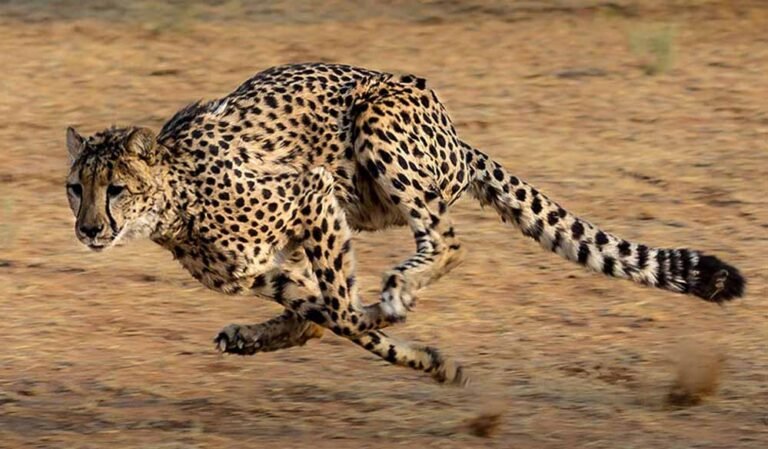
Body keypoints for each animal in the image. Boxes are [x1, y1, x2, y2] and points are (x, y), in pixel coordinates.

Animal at [65, 63, 745, 386]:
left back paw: (397, 291)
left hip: (377, 126)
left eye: (116, 189)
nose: (88, 230)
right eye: (76, 189)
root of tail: (455, 133)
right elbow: (324, 315)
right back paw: (266, 333)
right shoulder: (264, 268)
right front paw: (427, 359)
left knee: (446, 240)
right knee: (321, 311)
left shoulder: (312, 194)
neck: (175, 202)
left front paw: (416, 347)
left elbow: (342, 313)